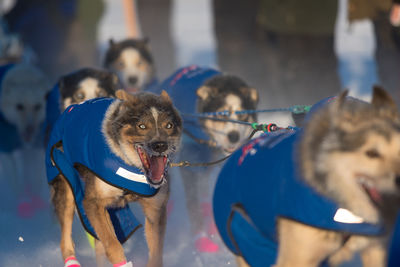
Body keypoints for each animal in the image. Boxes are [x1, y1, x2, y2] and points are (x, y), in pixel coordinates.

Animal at [47, 90, 183, 267]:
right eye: (142, 126)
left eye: (169, 125)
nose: (160, 145)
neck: (130, 164)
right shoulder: (93, 202)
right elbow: (113, 245)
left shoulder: (155, 209)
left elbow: (156, 252)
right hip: (67, 190)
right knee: (66, 240)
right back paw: (72, 261)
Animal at [160, 65, 258, 253]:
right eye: (221, 114)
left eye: (243, 116)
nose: (233, 136)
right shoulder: (189, 164)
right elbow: (193, 205)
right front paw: (200, 237)